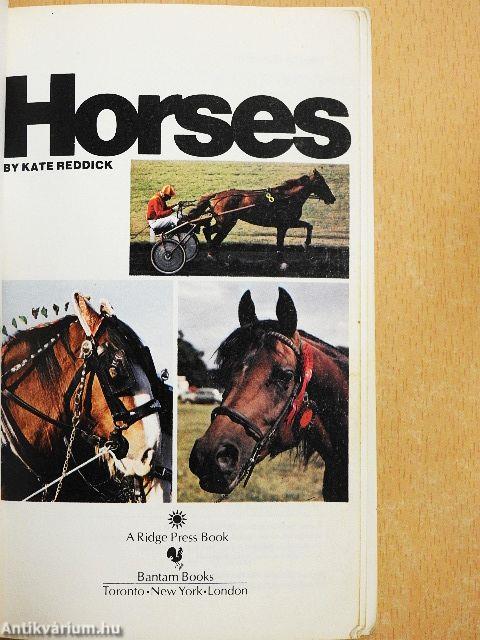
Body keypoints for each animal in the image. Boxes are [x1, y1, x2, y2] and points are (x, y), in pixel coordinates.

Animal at [186, 169, 335, 268]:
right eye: (321, 182)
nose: (332, 198)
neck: (287, 198)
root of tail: (217, 196)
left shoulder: (290, 222)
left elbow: (309, 225)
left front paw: (305, 244)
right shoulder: (283, 225)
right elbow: (280, 243)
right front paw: (282, 263)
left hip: (225, 222)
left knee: (208, 231)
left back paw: (214, 255)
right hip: (226, 223)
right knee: (213, 234)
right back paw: (212, 255)